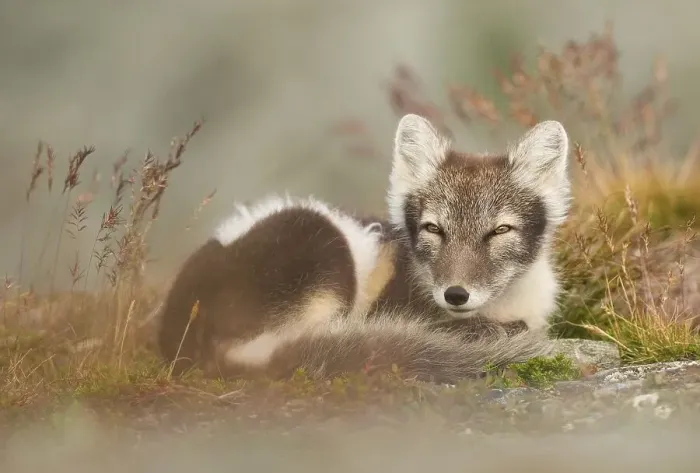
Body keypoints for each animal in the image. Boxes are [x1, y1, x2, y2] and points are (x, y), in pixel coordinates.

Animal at [156, 114, 571, 383]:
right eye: (433, 228)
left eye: (500, 230)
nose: (455, 295)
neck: (505, 306)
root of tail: (191, 342)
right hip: (319, 236)